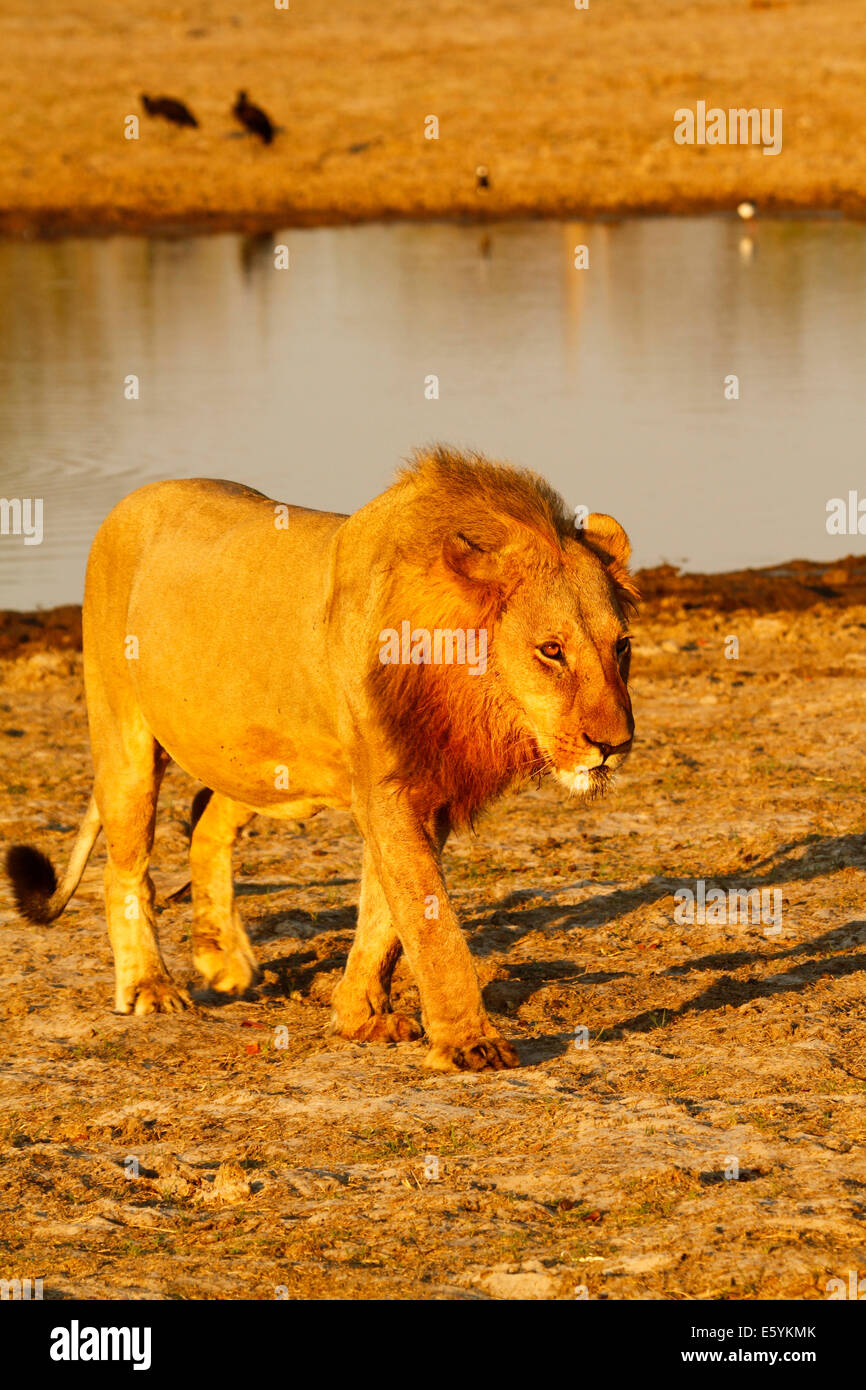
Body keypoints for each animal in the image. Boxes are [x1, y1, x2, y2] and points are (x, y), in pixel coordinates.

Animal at [5, 446, 637, 1071]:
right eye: (551, 650)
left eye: (622, 646)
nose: (614, 744)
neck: (463, 683)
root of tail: (132, 499)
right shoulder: (386, 788)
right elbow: (428, 921)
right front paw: (469, 1043)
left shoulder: (423, 792)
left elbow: (384, 915)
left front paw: (359, 1017)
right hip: (125, 736)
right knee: (125, 868)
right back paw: (149, 988)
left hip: (253, 758)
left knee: (207, 824)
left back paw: (222, 961)